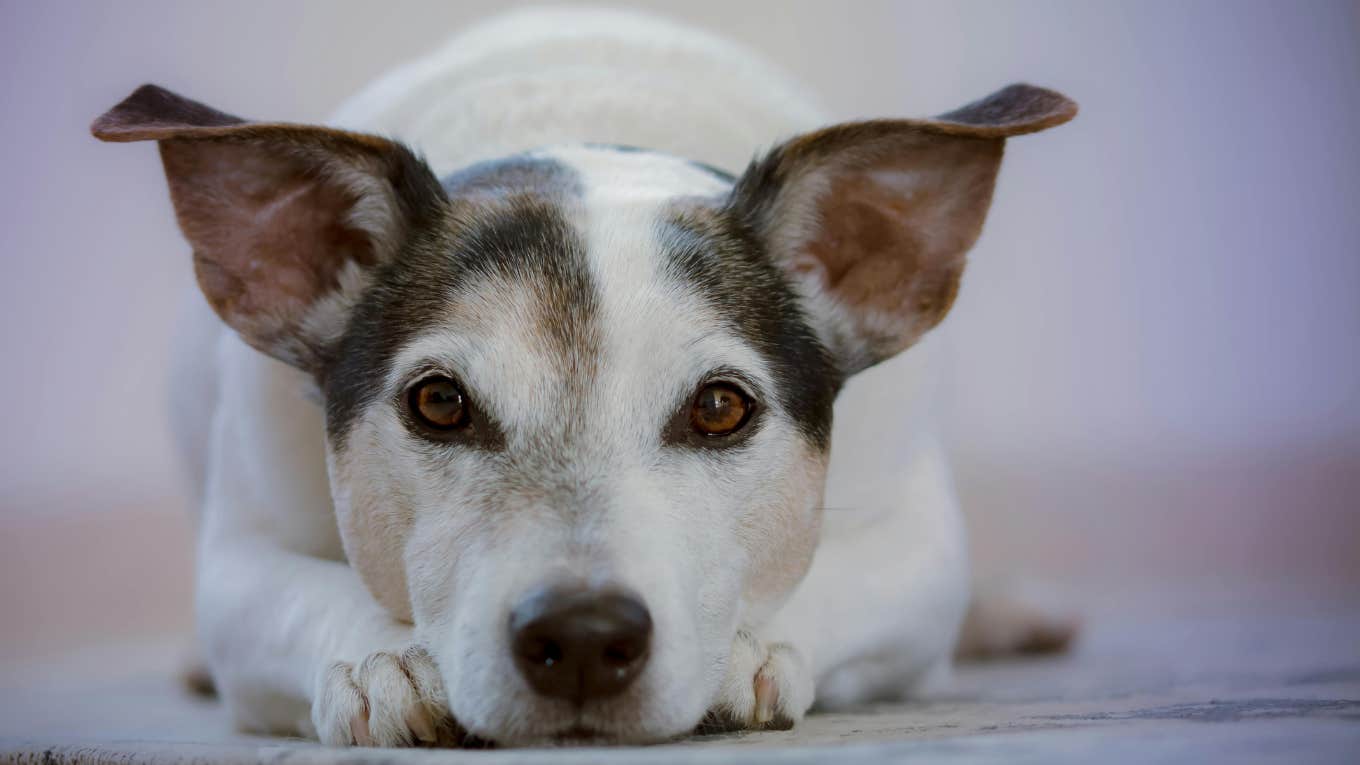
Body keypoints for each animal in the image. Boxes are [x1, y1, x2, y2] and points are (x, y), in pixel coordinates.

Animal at [90, 5, 1077, 745]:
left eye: (721, 408)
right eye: (438, 402)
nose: (584, 634)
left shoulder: (919, 545)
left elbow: (838, 578)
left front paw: (746, 649)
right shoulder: (239, 558)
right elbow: (297, 594)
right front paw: (385, 658)